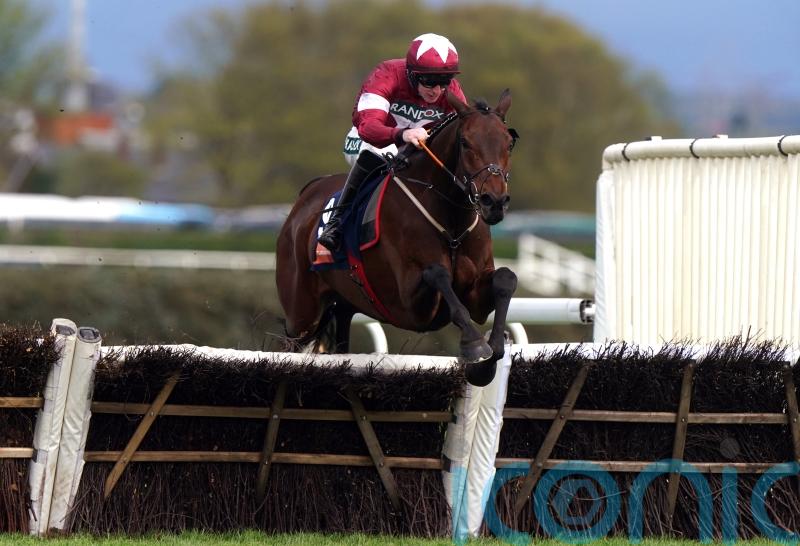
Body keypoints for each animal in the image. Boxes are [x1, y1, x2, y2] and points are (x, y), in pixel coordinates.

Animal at [276, 89, 518, 386]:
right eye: (465, 142)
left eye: (509, 143)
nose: (494, 202)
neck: (451, 220)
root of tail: (305, 197)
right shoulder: (410, 305)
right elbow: (438, 274)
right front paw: (474, 345)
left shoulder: (475, 293)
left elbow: (506, 278)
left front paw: (489, 357)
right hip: (301, 313)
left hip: (342, 305)